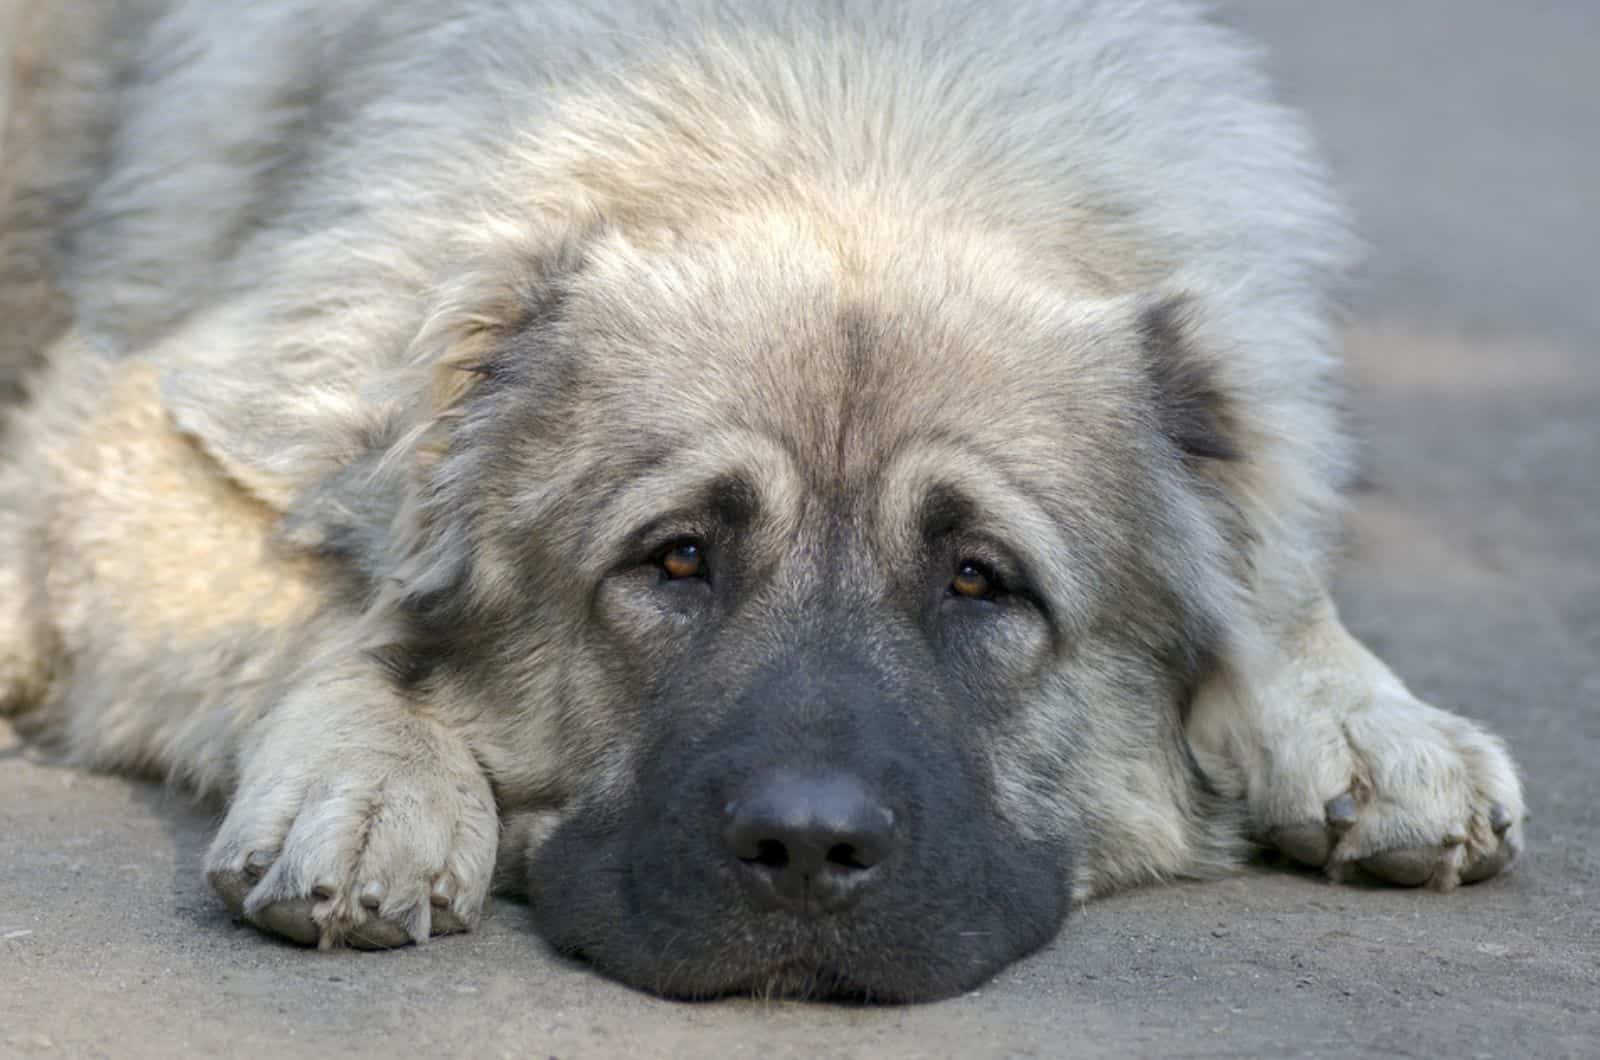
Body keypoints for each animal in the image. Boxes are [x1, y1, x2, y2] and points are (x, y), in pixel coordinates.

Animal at [0, 0, 1523, 999]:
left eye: (980, 580)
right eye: (675, 560)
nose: (806, 848)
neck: (848, 121)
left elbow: (1275, 576)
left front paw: (1363, 717)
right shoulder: (149, 432)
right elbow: (330, 613)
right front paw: (377, 778)